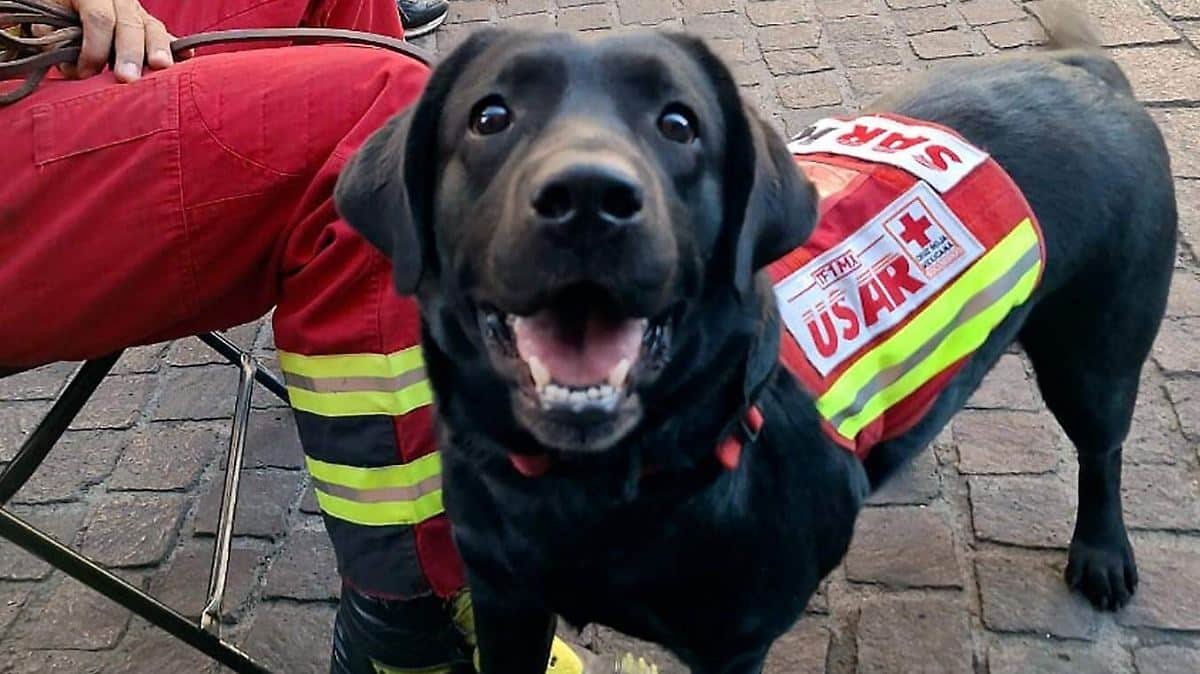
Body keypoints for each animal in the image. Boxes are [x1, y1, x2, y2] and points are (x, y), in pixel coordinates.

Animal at [334, 6, 1177, 672]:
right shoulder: (505, 601)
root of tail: (1088, 72)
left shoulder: (733, 643)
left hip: (1095, 354)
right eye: (490, 117)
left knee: (1102, 449)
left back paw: (1103, 555)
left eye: (678, 125)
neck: (594, 490)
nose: (588, 198)